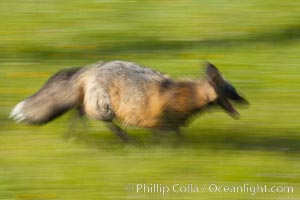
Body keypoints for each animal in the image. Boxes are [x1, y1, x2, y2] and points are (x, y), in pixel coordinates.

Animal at [9, 60, 248, 141]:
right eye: (233, 91)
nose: (247, 102)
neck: (184, 95)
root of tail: (90, 69)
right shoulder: (162, 122)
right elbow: (168, 139)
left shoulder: (171, 124)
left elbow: (177, 136)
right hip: (104, 107)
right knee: (99, 120)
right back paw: (126, 139)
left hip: (94, 103)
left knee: (78, 112)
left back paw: (73, 135)